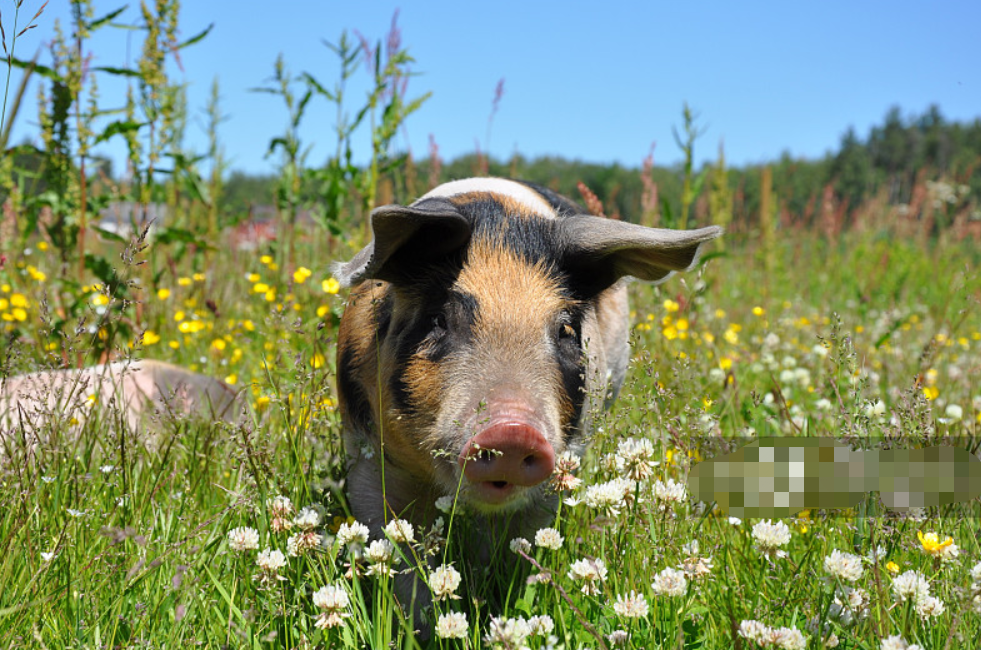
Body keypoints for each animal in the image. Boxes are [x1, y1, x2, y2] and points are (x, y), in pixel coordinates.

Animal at [334, 178, 724, 608]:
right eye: (437, 319)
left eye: (566, 329)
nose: (512, 431)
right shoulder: (366, 455)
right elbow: (400, 557)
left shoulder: (560, 467)